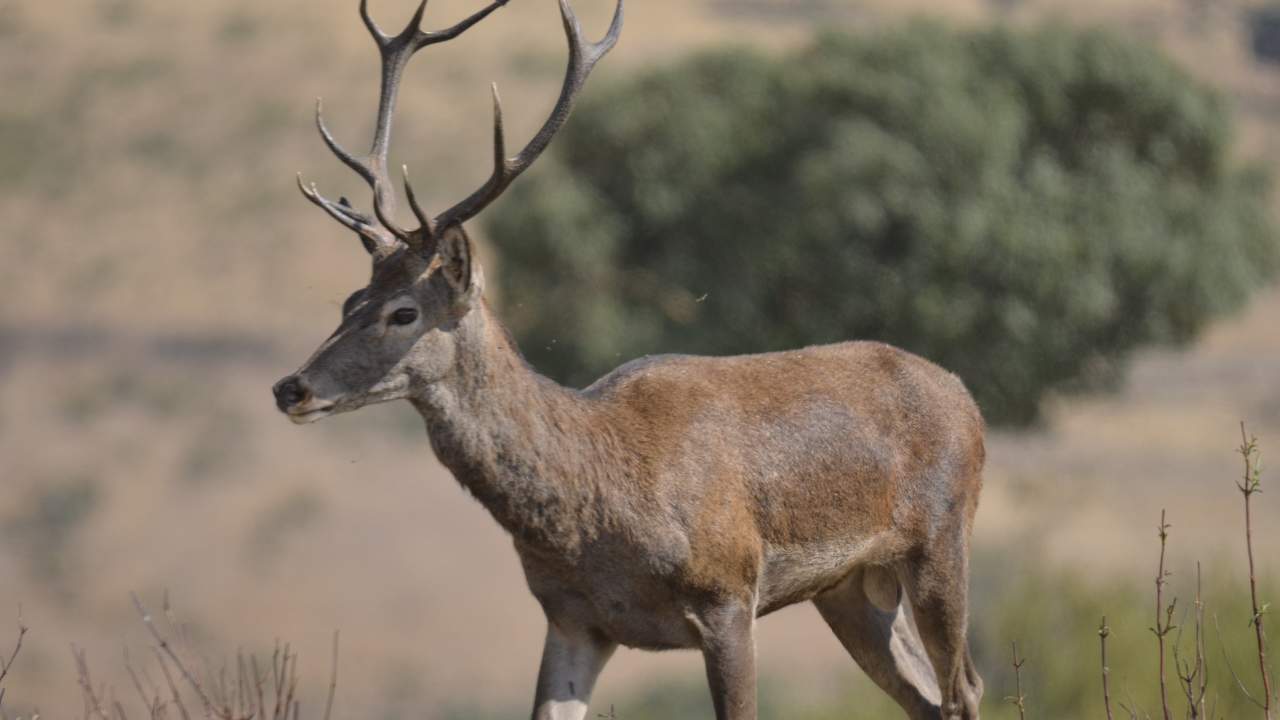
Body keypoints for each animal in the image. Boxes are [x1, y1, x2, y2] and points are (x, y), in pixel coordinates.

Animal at [272, 1, 986, 718]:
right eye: (350, 298)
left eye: (404, 313)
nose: (290, 388)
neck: (601, 502)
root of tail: (966, 397)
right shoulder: (572, 617)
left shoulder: (728, 592)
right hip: (851, 585)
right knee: (928, 696)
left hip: (941, 537)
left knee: (965, 688)